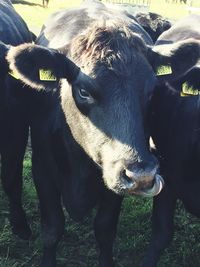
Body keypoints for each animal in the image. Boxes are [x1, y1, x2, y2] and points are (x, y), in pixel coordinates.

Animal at [6, 1, 200, 266]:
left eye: (152, 91)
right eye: (84, 91)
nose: (142, 175)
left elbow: (105, 229)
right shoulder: (42, 168)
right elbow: (52, 228)